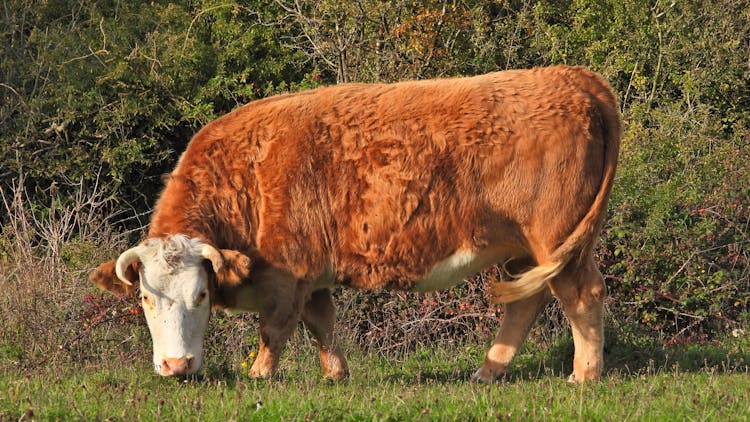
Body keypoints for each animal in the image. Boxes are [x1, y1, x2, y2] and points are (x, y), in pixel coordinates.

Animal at [91, 65, 624, 382]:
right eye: (145, 298)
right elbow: (322, 323)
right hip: (522, 249)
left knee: (581, 295)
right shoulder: (311, 274)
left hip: (556, 239)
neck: (247, 173)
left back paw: (584, 375)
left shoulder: (286, 273)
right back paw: (488, 373)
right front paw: (336, 374)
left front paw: (259, 376)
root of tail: (572, 77)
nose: (176, 365)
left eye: (201, 294)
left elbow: (276, 328)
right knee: (525, 301)